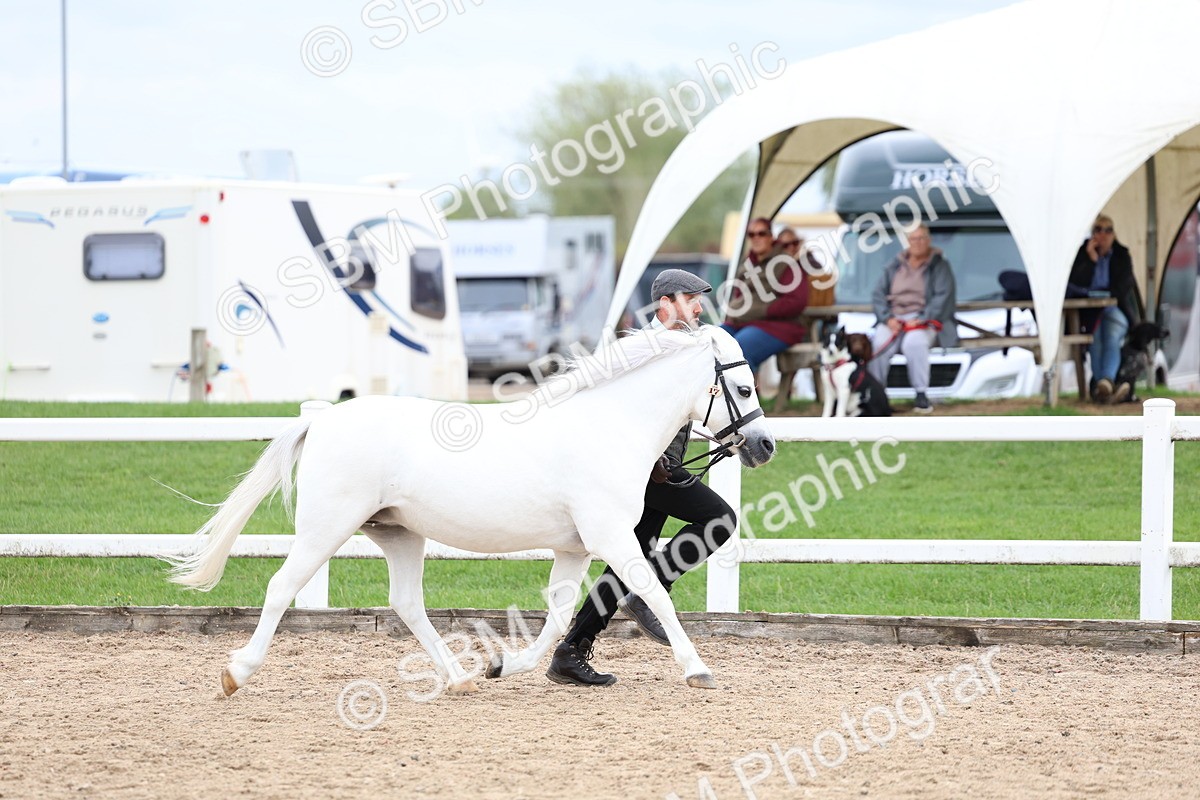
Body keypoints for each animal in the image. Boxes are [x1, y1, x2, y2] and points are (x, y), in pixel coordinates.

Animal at [166, 324, 776, 697]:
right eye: (744, 388)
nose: (765, 445)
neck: (609, 425)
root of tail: (323, 419)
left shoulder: (575, 548)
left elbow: (558, 615)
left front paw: (505, 665)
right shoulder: (611, 537)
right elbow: (651, 593)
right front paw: (698, 669)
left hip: (398, 534)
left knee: (407, 603)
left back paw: (459, 677)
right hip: (327, 528)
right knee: (281, 587)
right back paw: (236, 673)